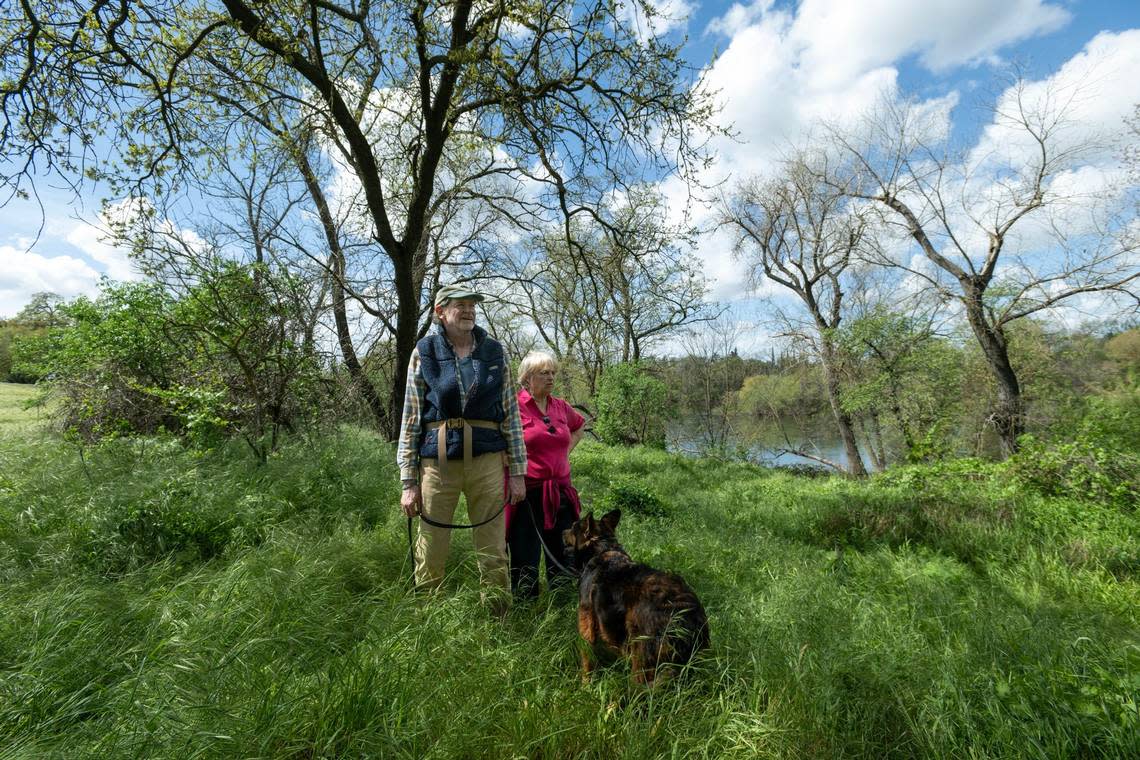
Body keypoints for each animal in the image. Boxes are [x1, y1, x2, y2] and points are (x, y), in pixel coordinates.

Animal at [563, 510, 706, 683]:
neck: (603, 549)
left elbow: (587, 662)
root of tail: (685, 616)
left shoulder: (586, 628)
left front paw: (586, 683)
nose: (561, 532)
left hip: (641, 661)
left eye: (572, 527)